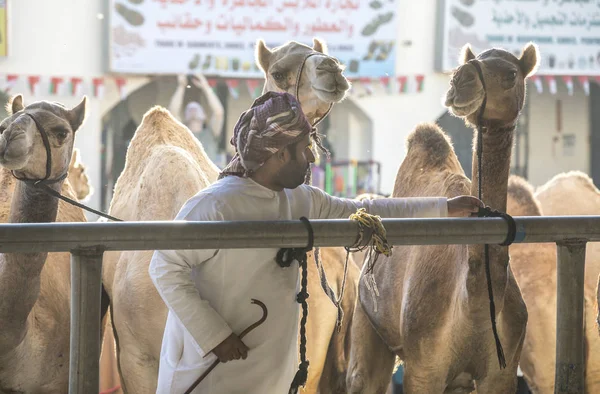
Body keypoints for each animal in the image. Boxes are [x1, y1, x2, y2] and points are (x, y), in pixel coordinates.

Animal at [344, 41, 536, 392]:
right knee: (362, 377)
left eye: (511, 73)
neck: (474, 304)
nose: (460, 79)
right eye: (474, 60)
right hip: (366, 318)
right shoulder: (425, 367)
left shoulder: (502, 371)